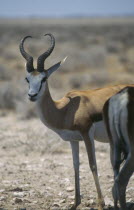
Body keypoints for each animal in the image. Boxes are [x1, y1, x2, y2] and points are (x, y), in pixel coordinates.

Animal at [19, 33, 134, 209]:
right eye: (27, 79)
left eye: (44, 78)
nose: (32, 95)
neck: (65, 110)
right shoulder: (73, 140)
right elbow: (75, 166)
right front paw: (75, 203)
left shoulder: (87, 134)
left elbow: (92, 164)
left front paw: (100, 203)